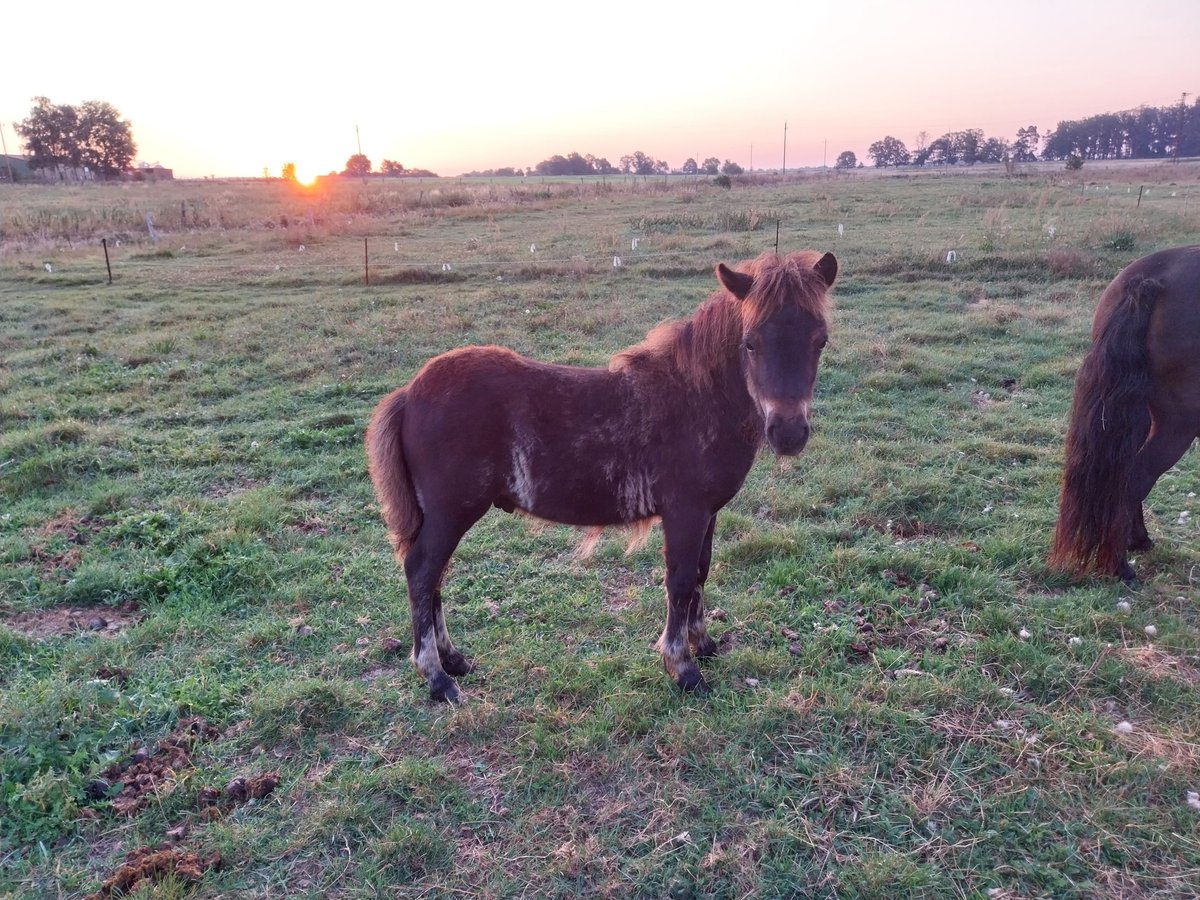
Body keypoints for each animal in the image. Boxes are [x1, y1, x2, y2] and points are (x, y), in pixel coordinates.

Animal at [369, 252, 840, 705]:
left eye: (820, 340)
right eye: (750, 342)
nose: (788, 433)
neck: (697, 399)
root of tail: (409, 394)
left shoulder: (708, 512)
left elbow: (701, 573)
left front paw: (703, 643)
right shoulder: (684, 512)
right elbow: (680, 580)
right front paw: (683, 669)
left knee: (434, 576)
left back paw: (454, 660)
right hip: (452, 512)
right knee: (423, 571)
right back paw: (437, 678)